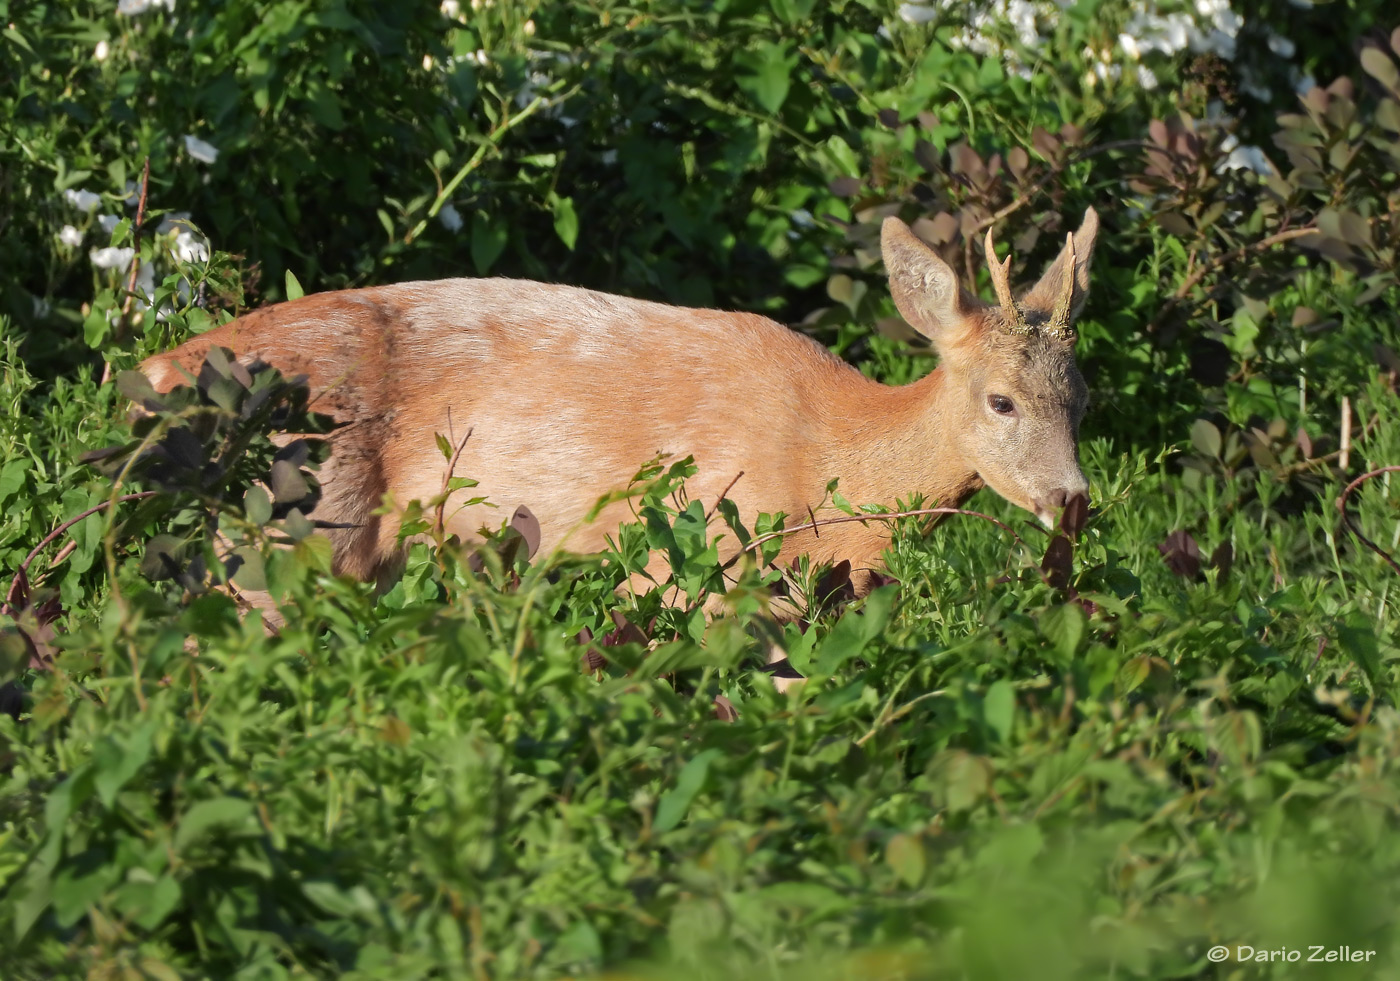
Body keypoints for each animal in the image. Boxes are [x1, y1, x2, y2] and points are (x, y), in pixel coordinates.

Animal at [144, 207, 1103, 618]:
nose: (1072, 498)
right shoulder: (697, 547)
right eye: (1000, 399)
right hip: (300, 517)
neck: (836, 458)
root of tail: (164, 364)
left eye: (1082, 395)